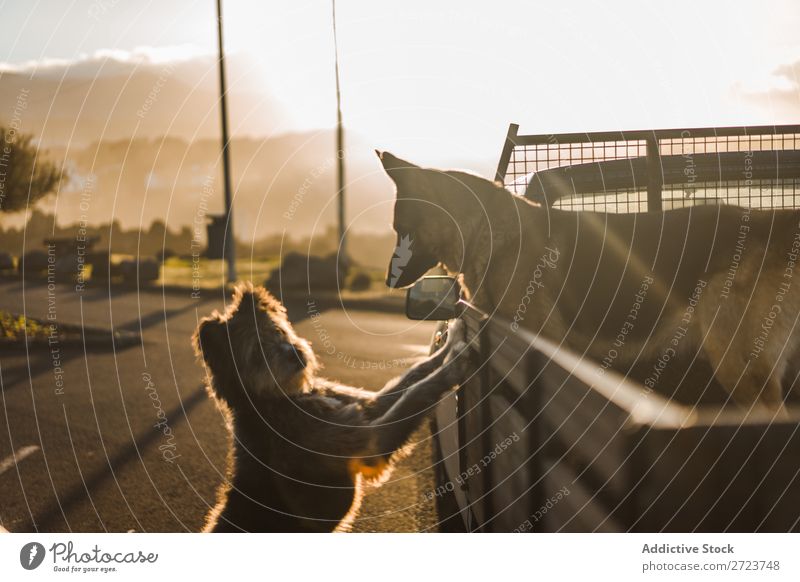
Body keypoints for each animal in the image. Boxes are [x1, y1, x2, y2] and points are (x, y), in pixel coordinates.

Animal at [194, 282, 468, 532]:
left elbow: (413, 376)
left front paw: (449, 341)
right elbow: (415, 395)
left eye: (278, 331)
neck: (281, 399)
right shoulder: (367, 445)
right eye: (257, 351)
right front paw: (453, 364)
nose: (295, 352)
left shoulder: (362, 406)